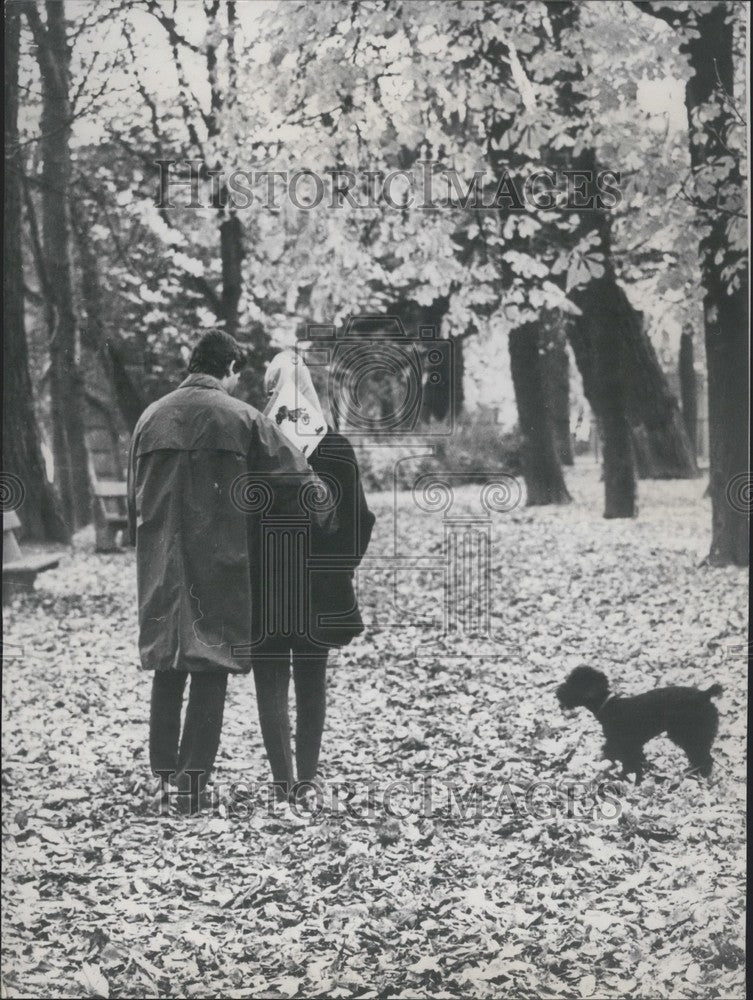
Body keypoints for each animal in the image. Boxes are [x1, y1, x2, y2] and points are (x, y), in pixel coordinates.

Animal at [556, 668, 720, 784]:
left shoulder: (626, 746)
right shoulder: (630, 746)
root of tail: (705, 695)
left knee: (704, 758)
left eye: (573, 684)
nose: (558, 692)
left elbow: (630, 764)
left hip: (690, 734)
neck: (609, 706)